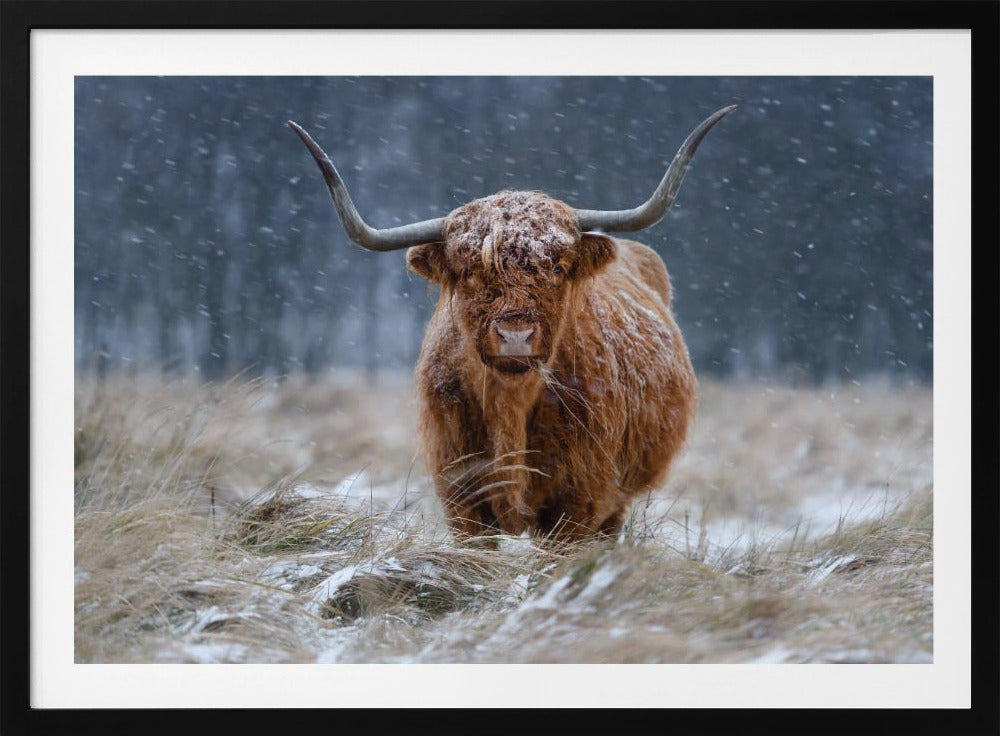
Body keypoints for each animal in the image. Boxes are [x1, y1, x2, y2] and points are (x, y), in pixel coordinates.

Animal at [289, 105, 736, 543]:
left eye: (557, 267)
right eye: (469, 271)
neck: (510, 406)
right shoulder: (461, 496)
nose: (515, 335)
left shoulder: (579, 501)